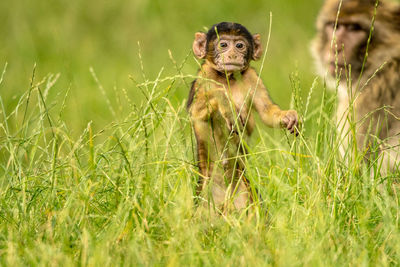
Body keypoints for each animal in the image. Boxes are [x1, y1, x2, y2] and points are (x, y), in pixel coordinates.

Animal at [187, 22, 296, 214]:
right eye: (223, 44)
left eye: (239, 45)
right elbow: (196, 112)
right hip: (206, 196)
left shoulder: (252, 78)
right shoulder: (203, 77)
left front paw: (288, 116)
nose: (232, 54)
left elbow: (267, 113)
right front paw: (226, 103)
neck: (227, 78)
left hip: (244, 191)